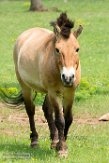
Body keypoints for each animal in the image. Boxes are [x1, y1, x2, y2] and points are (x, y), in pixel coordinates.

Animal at [11, 12, 82, 157]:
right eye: (57, 49)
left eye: (77, 49)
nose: (68, 78)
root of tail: (26, 34)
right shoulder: (54, 92)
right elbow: (60, 120)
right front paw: (62, 149)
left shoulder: (70, 92)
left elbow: (68, 118)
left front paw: (60, 143)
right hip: (25, 86)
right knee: (30, 110)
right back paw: (34, 141)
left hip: (48, 93)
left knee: (47, 110)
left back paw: (54, 141)